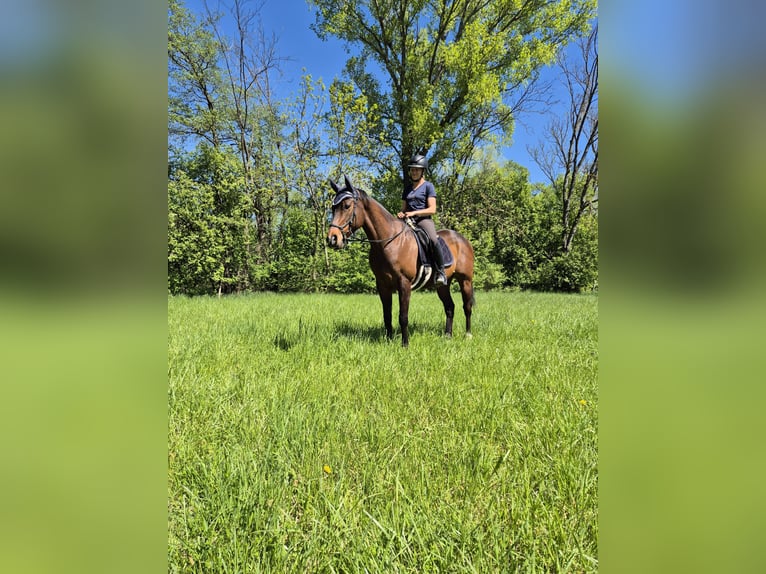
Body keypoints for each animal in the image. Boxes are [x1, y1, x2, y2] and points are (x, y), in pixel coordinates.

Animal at [326, 175, 475, 347]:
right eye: (333, 208)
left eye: (347, 206)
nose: (332, 239)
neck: (388, 242)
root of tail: (463, 239)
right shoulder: (383, 285)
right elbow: (387, 315)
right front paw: (389, 340)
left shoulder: (404, 283)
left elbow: (403, 316)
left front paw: (405, 344)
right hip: (443, 285)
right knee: (450, 307)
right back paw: (447, 336)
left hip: (465, 280)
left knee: (467, 306)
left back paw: (468, 335)